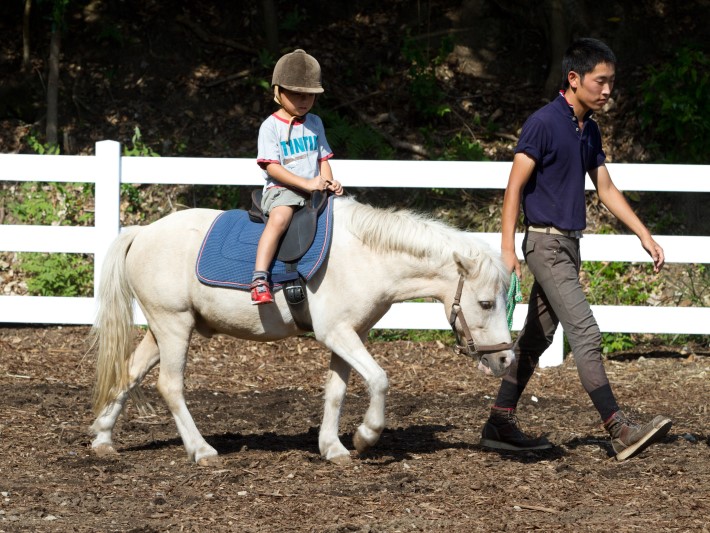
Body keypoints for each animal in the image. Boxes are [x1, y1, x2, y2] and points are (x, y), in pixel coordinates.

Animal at [92, 197, 516, 464]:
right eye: (486, 303)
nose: (505, 358)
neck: (367, 255)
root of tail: (142, 233)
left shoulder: (351, 335)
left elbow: (337, 391)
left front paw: (333, 447)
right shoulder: (337, 334)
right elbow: (379, 379)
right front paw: (365, 436)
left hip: (163, 330)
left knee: (128, 374)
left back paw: (102, 438)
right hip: (174, 325)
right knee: (170, 386)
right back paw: (202, 450)